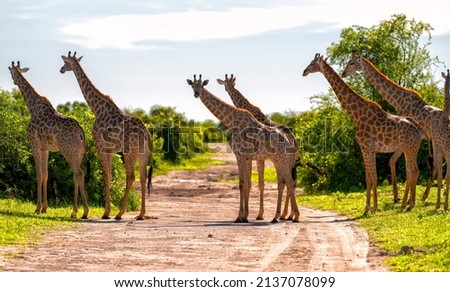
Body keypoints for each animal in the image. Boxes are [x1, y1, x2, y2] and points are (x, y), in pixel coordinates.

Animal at [8, 60, 89, 218]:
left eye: (11, 72)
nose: (14, 81)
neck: (32, 107)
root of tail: (81, 134)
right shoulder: (45, 148)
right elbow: (46, 174)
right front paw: (45, 208)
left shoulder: (34, 144)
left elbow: (39, 174)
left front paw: (37, 208)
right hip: (79, 153)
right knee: (77, 175)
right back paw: (74, 211)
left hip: (68, 150)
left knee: (79, 173)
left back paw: (83, 211)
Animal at [59, 52, 152, 219]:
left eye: (66, 62)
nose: (61, 70)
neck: (96, 108)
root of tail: (145, 133)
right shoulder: (110, 150)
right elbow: (109, 177)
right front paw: (107, 211)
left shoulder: (100, 146)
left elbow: (106, 177)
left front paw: (106, 212)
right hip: (143, 153)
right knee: (143, 177)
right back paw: (141, 214)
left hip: (129, 152)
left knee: (131, 176)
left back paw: (120, 213)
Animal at [186, 74, 298, 222]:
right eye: (192, 85)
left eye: (202, 85)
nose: (196, 94)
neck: (232, 122)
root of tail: (290, 140)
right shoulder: (247, 157)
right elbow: (247, 183)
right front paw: (245, 215)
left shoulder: (240, 155)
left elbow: (242, 184)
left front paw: (240, 216)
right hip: (279, 160)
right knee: (286, 182)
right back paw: (283, 216)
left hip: (281, 160)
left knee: (288, 181)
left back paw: (290, 216)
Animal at [302, 54, 422, 214]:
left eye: (312, 63)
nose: (304, 72)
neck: (357, 115)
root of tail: (419, 130)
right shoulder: (371, 150)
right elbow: (372, 177)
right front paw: (372, 208)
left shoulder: (365, 147)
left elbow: (369, 178)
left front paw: (368, 209)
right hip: (411, 149)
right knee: (413, 171)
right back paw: (408, 204)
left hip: (409, 149)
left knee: (412, 171)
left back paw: (407, 204)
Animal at [342, 51, 444, 209]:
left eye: (351, 63)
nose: (343, 74)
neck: (398, 100)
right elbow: (392, 161)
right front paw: (398, 198)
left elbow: (403, 166)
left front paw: (404, 199)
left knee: (436, 165)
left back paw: (426, 197)